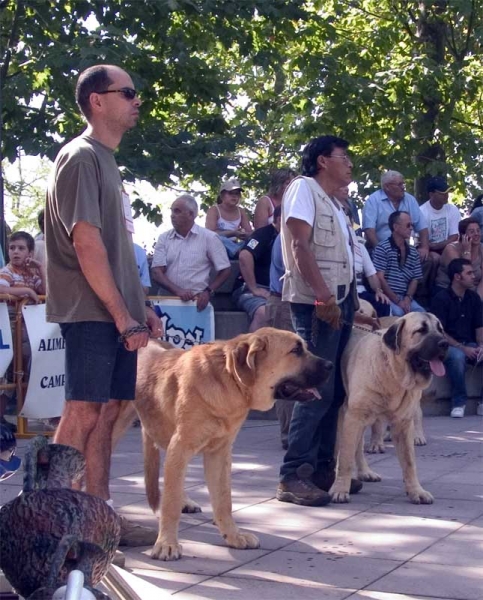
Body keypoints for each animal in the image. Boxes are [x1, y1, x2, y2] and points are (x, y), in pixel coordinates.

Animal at [113, 328, 332, 556]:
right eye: (295, 350)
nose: (331, 365)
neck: (229, 380)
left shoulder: (219, 453)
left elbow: (223, 500)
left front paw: (233, 536)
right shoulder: (180, 447)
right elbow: (170, 504)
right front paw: (167, 543)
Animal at [330, 312, 448, 504]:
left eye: (441, 330)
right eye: (421, 330)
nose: (445, 344)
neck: (394, 373)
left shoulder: (403, 424)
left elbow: (409, 462)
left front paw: (416, 491)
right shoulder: (354, 417)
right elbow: (346, 457)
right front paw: (340, 489)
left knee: (358, 446)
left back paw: (365, 472)